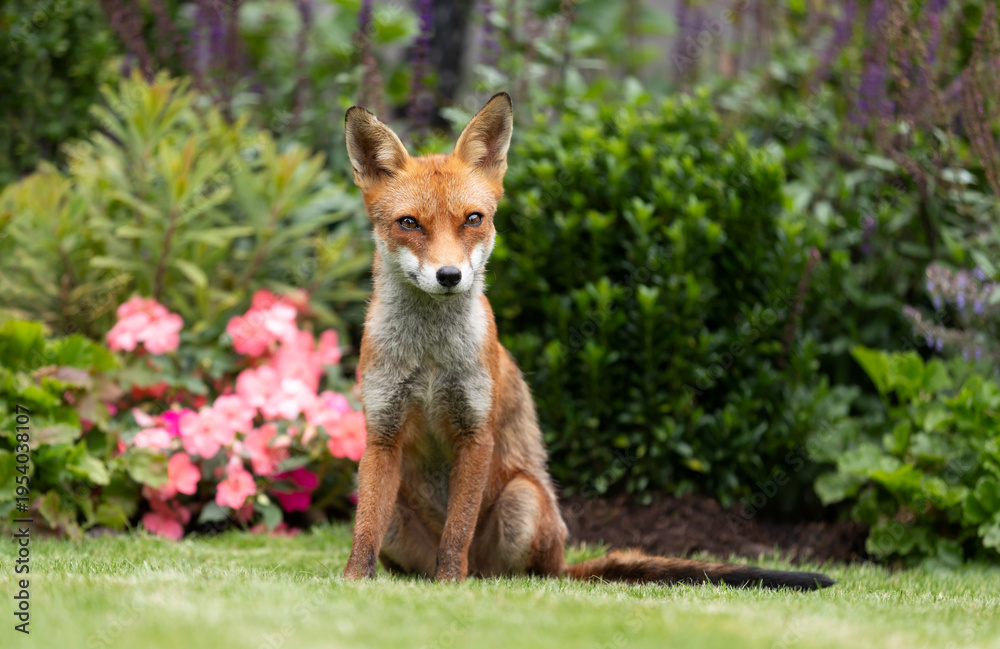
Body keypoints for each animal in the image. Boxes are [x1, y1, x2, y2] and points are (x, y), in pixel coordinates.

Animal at [340, 92, 835, 591]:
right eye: (409, 224)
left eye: (473, 219)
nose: (449, 276)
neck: (429, 357)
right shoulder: (382, 433)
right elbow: (364, 532)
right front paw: (353, 583)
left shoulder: (475, 432)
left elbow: (456, 531)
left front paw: (449, 588)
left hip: (523, 499)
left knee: (520, 573)